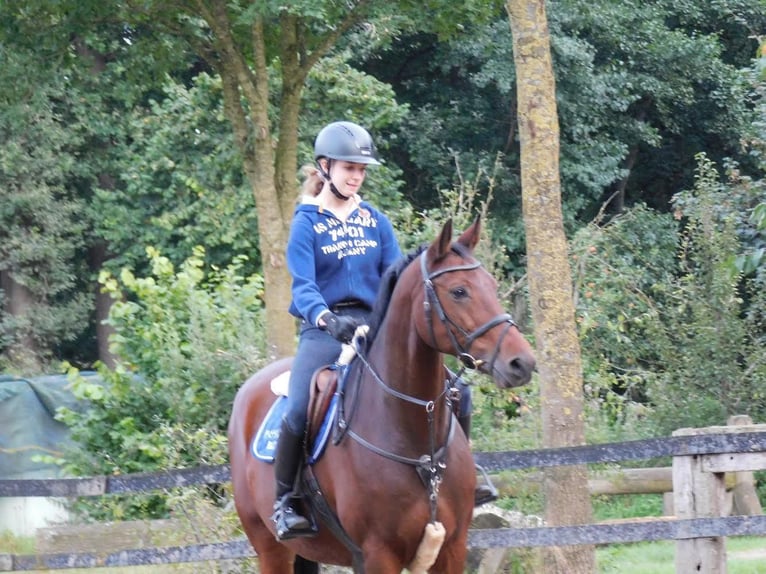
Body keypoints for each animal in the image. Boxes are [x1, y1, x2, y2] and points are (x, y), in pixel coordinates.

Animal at [231, 218, 536, 572]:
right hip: (271, 548)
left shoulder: (452, 547)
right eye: (459, 291)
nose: (521, 362)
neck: (416, 443)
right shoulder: (379, 553)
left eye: (492, 284)